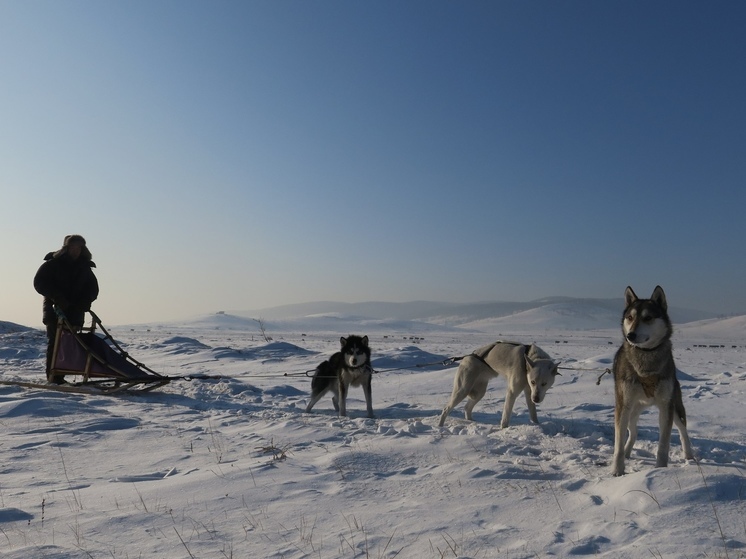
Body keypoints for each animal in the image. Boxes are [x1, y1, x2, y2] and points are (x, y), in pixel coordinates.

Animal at [612, 288, 692, 476]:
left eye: (648, 317)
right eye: (630, 317)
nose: (630, 335)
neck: (646, 360)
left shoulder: (665, 406)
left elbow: (663, 444)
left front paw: (661, 470)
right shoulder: (622, 405)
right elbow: (618, 443)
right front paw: (617, 471)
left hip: (675, 408)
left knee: (683, 431)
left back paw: (689, 456)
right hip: (632, 411)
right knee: (632, 432)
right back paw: (627, 452)